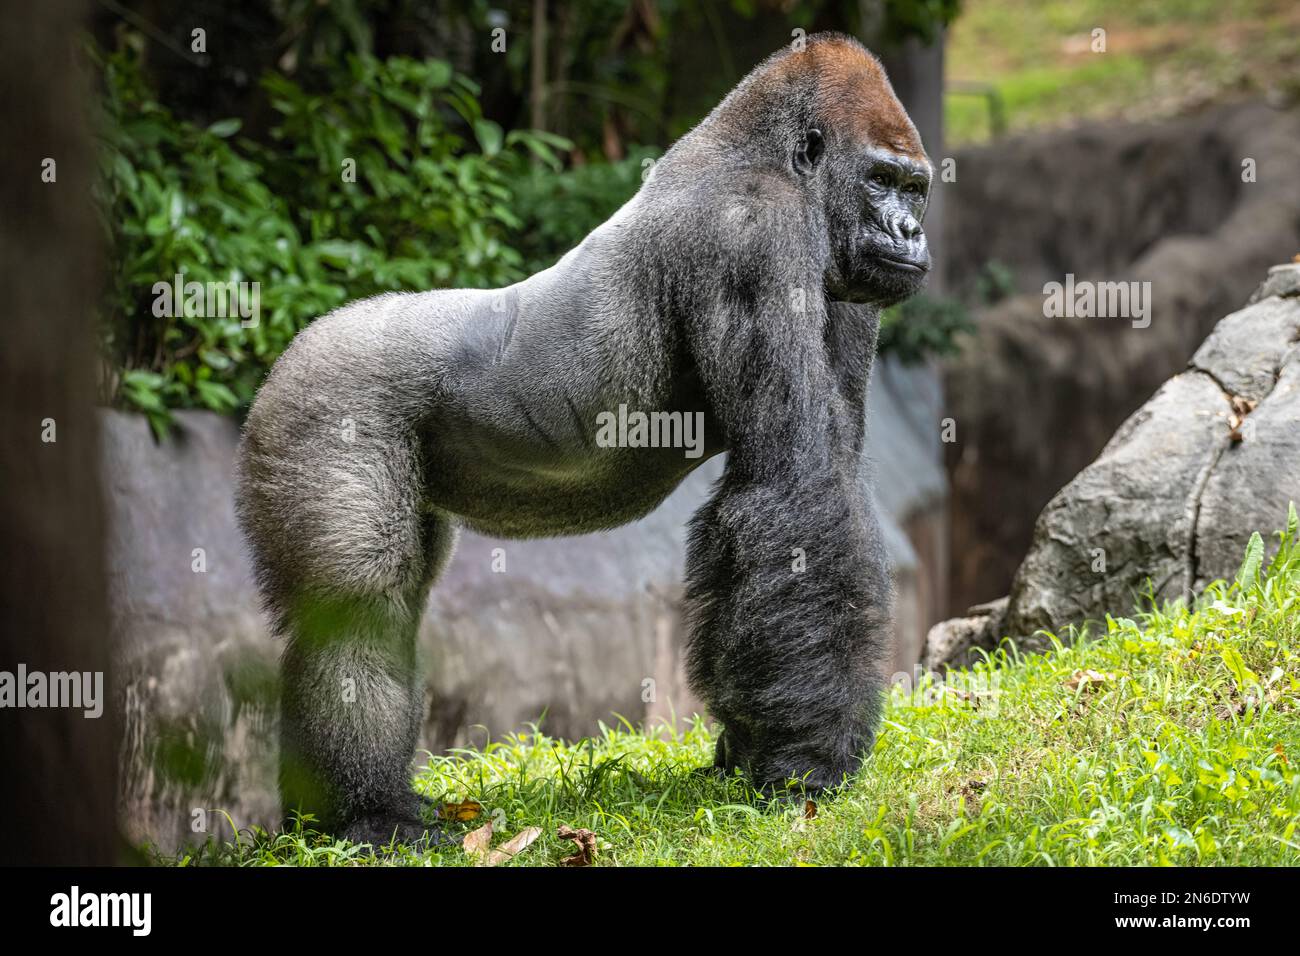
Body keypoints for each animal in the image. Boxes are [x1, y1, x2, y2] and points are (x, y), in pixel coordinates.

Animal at [236, 32, 932, 846]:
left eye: (915, 189)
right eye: (881, 181)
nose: (911, 232)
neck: (768, 158)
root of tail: (295, 347)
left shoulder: (848, 280)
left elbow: (823, 474)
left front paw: (751, 750)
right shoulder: (756, 235)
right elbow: (797, 483)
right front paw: (809, 761)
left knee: (389, 601)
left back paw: (355, 805)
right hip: (320, 404)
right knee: (357, 606)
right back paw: (361, 812)